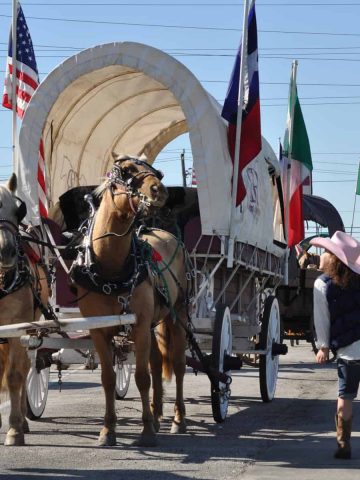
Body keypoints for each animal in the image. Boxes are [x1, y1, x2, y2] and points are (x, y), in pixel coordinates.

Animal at [70, 154, 188, 446]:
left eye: (157, 171)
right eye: (125, 171)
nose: (160, 190)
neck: (111, 270)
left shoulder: (139, 325)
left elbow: (142, 377)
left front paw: (146, 431)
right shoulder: (99, 330)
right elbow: (108, 378)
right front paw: (108, 430)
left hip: (177, 314)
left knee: (178, 365)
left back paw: (177, 419)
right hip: (154, 324)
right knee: (157, 364)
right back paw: (157, 415)